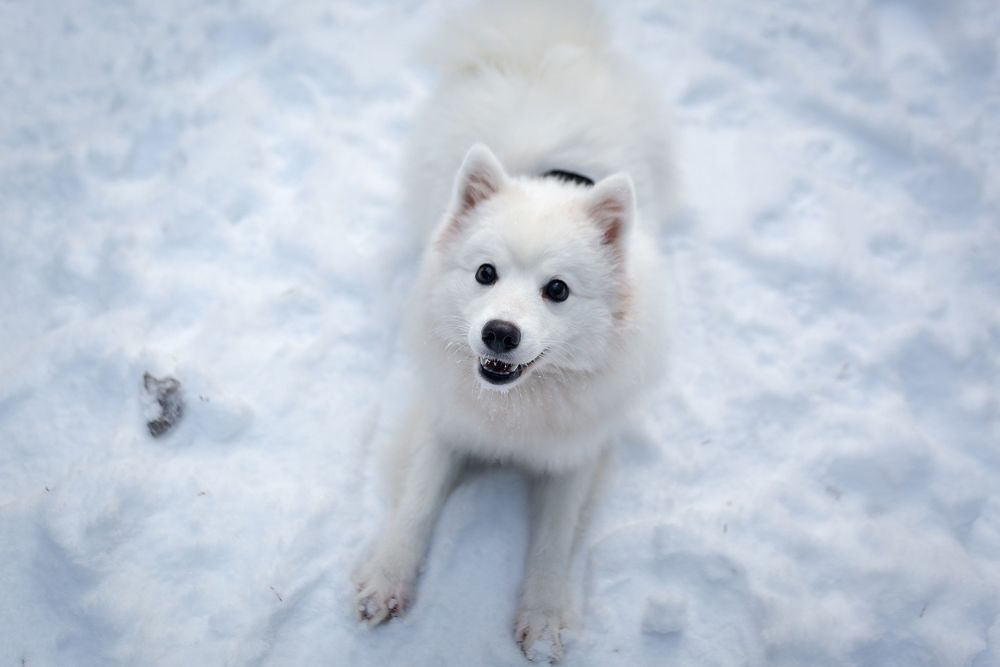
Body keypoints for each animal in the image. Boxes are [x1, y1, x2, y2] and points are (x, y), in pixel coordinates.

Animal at [352, 1, 672, 664]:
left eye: (558, 290)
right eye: (485, 273)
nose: (499, 333)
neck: (515, 408)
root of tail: (541, 44)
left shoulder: (576, 454)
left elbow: (553, 541)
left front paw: (544, 620)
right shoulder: (443, 424)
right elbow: (415, 505)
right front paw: (386, 580)